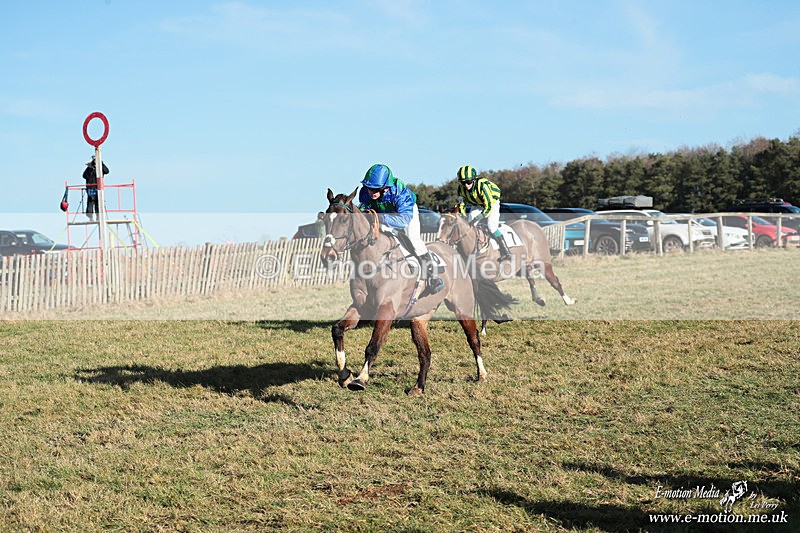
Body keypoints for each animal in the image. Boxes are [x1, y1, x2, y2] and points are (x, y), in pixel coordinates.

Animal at [320, 188, 514, 394]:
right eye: (325, 220)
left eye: (343, 220)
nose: (327, 257)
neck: (374, 261)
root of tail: (457, 254)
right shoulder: (362, 308)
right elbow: (337, 329)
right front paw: (344, 375)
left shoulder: (386, 310)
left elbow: (373, 346)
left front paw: (360, 379)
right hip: (419, 317)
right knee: (425, 352)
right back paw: (419, 387)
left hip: (462, 308)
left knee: (473, 339)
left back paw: (482, 374)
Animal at [437, 211, 575, 334]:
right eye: (439, 223)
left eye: (450, 224)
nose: (440, 242)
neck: (475, 246)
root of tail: (533, 225)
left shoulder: (487, 281)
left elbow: (489, 299)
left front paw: (485, 327)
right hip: (522, 267)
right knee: (530, 278)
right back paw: (539, 299)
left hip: (542, 263)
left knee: (554, 281)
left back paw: (568, 300)